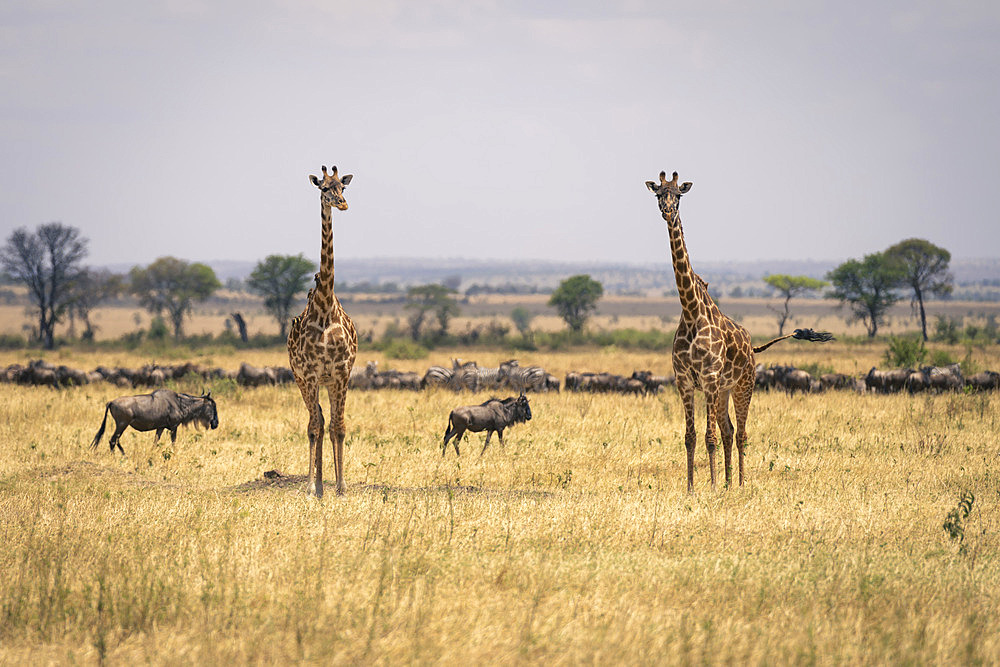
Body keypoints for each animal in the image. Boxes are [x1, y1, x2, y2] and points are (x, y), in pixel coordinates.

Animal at [644, 171, 832, 496]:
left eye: (678, 195)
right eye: (659, 194)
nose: (668, 212)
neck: (691, 312)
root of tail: (753, 347)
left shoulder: (708, 378)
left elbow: (708, 437)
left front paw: (710, 486)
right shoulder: (685, 381)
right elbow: (691, 437)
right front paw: (692, 488)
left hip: (743, 385)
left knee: (741, 432)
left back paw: (741, 483)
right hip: (724, 390)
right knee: (729, 430)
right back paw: (729, 483)